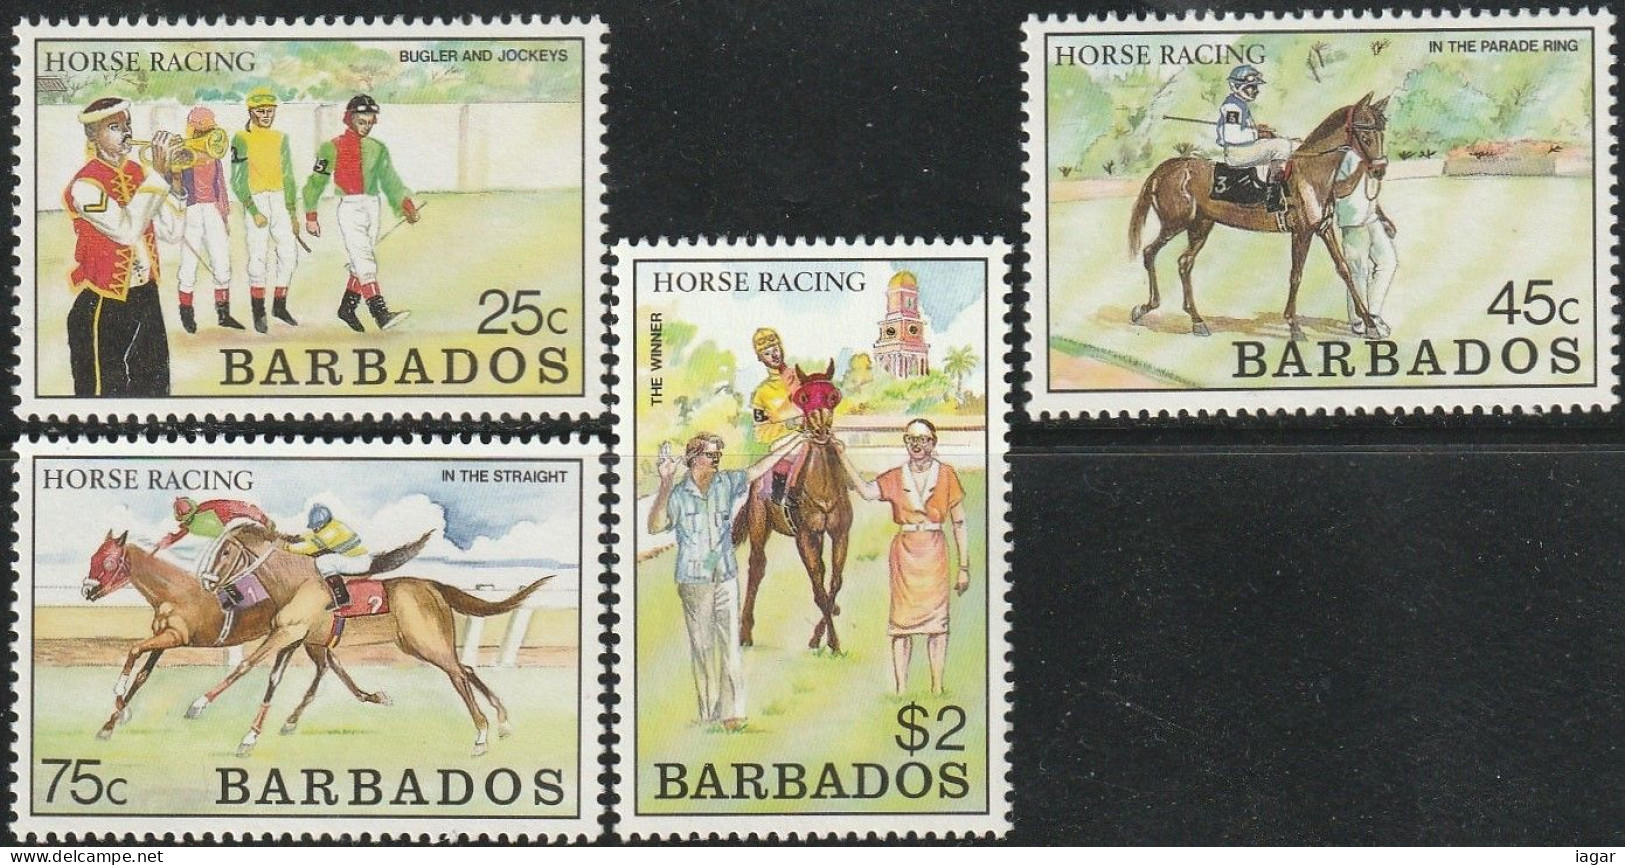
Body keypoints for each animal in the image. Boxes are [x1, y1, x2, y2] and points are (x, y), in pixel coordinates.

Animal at [80, 530, 388, 741]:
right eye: (93, 557)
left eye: (109, 562)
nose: (87, 590)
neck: (175, 592)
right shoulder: (163, 640)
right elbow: (142, 675)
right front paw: (111, 722)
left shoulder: (175, 636)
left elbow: (133, 651)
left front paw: (119, 700)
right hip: (311, 639)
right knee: (330, 664)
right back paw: (368, 697)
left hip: (301, 636)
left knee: (323, 666)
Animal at [737, 360, 858, 653]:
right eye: (803, 398)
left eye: (833, 396)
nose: (821, 431)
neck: (823, 487)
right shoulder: (804, 536)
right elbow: (818, 588)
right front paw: (832, 643)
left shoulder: (839, 533)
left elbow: (834, 581)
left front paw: (821, 635)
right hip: (760, 525)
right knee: (756, 567)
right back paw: (745, 633)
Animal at [1124, 91, 1391, 339]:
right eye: (1365, 136)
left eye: (1382, 133)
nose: (1379, 169)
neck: (1310, 175)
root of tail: (1169, 167)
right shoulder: (1302, 233)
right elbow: (1296, 275)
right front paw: (1293, 325)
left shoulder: (1323, 229)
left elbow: (1344, 270)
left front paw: (1370, 324)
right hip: (1175, 224)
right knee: (1150, 252)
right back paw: (1146, 308)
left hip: (1200, 226)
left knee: (1183, 263)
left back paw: (1196, 320)